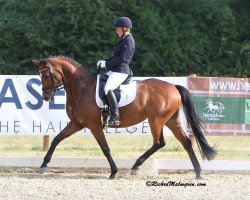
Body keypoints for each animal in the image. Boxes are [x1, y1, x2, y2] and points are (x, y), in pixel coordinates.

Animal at [32, 56, 217, 180]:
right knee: (185, 142)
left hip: (156, 120)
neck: (81, 87)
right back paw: (198, 172)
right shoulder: (77, 123)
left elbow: (105, 148)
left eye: (46, 75)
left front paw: (113, 172)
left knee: (159, 142)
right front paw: (43, 165)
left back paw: (136, 166)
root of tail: (173, 86)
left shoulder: (94, 125)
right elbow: (56, 139)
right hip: (172, 121)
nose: (45, 96)